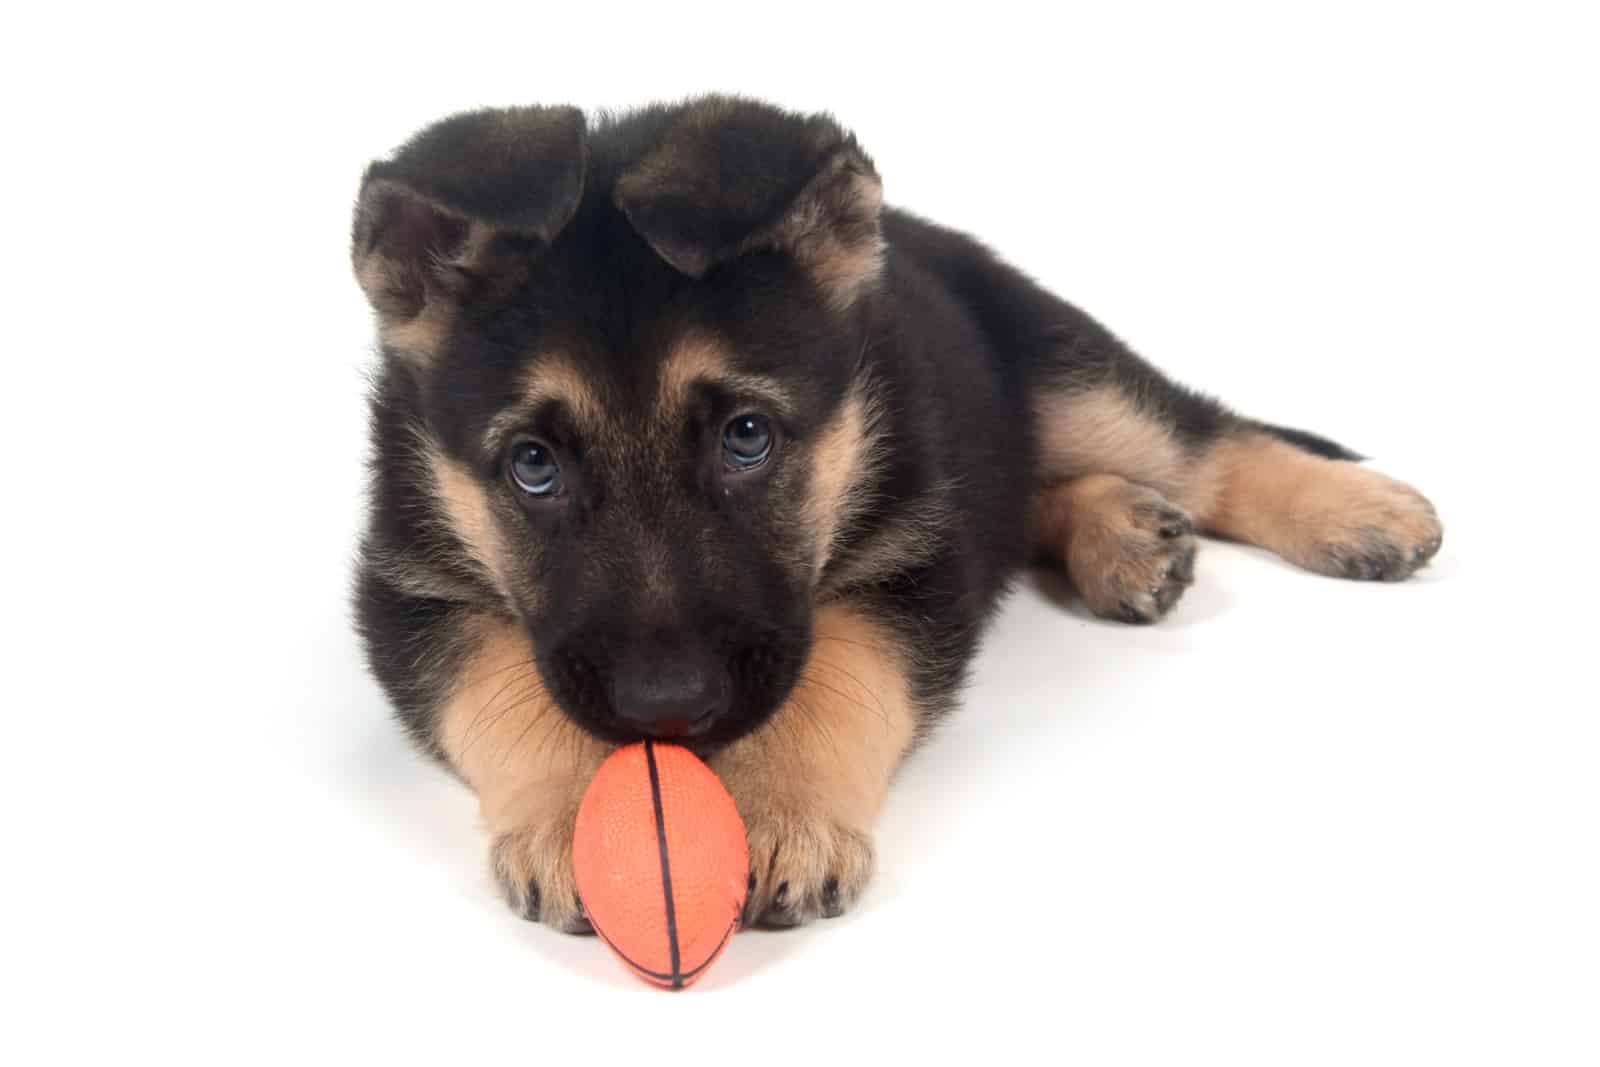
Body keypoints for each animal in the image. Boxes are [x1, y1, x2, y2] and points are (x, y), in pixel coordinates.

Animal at [356, 95, 1446, 927]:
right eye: (532, 467)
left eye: (746, 436)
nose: (667, 708)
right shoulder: (406, 586)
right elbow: (498, 672)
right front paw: (587, 811)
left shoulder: (915, 561)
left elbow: (841, 668)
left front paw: (784, 811)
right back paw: (1123, 535)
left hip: (1063, 371)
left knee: (1204, 441)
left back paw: (1360, 508)